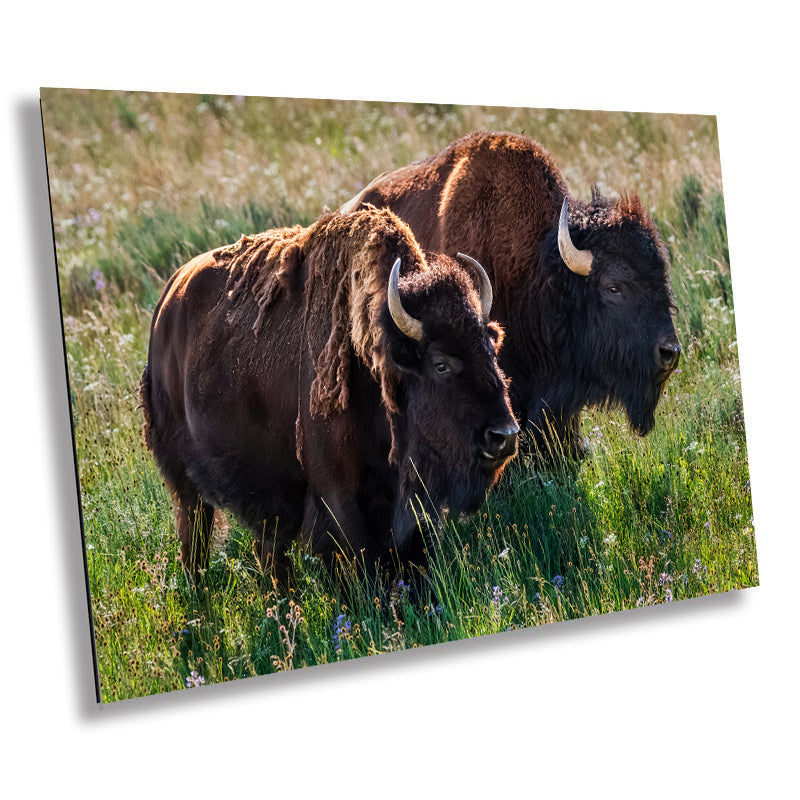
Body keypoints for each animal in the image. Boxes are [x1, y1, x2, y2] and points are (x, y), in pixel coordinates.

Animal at [141, 207, 518, 578]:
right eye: (440, 364)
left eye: (491, 349)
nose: (504, 435)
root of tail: (166, 305)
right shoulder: (339, 497)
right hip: (184, 478)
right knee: (195, 535)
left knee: (268, 551)